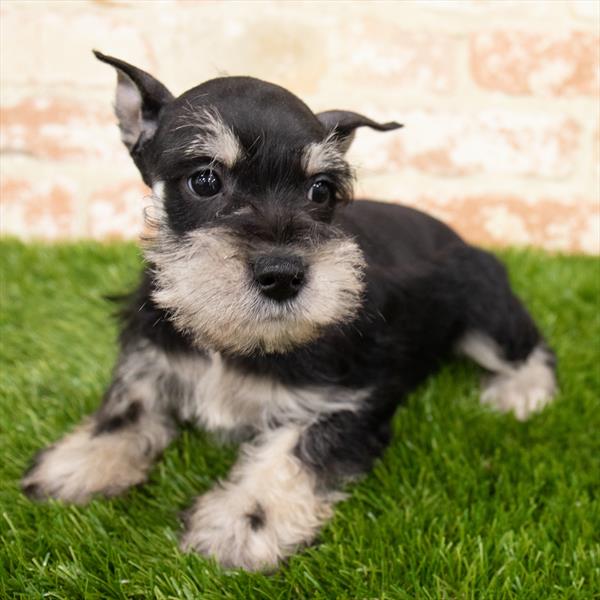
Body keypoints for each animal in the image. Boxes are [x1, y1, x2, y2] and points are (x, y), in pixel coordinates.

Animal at [23, 51, 556, 572]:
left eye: (320, 190)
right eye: (205, 180)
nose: (282, 275)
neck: (230, 342)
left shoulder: (350, 398)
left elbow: (292, 452)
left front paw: (240, 524)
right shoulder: (150, 351)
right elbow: (127, 405)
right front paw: (80, 463)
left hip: (483, 306)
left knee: (531, 347)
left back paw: (521, 394)